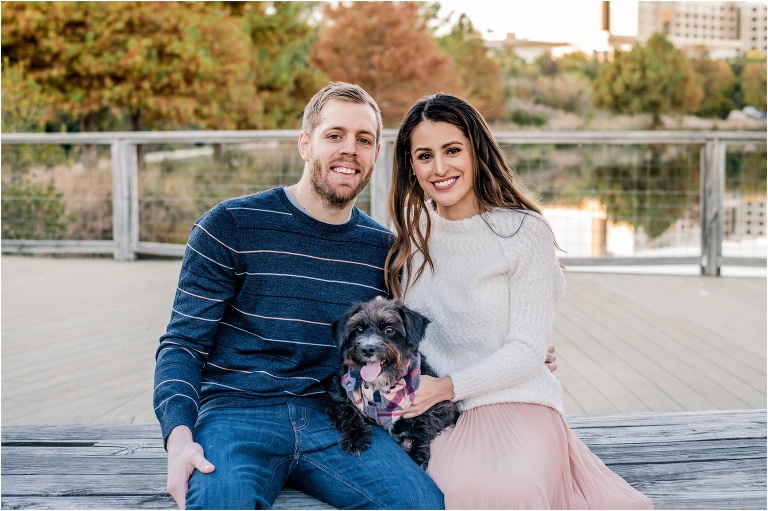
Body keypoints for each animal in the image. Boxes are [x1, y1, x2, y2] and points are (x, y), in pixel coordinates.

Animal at [322, 296, 456, 468]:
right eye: (358, 329)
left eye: (389, 329)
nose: (367, 349)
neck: (380, 387)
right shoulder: (336, 393)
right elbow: (347, 412)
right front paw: (356, 437)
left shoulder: (443, 406)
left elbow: (425, 424)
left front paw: (418, 454)